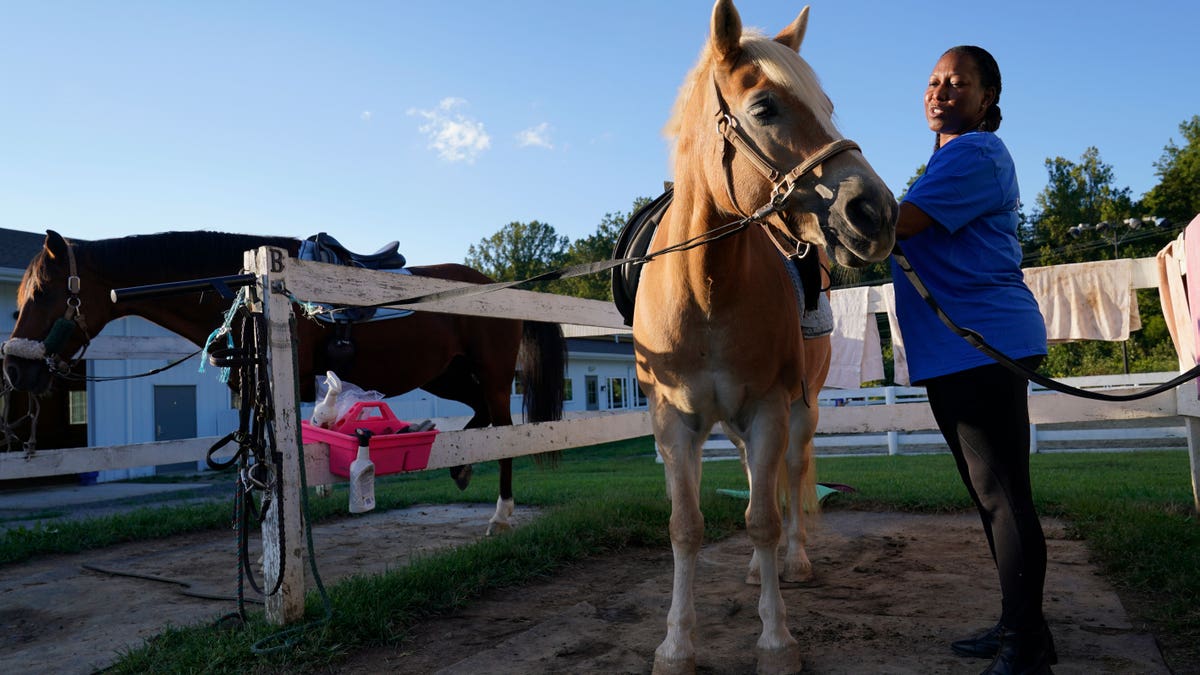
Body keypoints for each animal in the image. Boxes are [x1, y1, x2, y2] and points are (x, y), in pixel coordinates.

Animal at [2, 228, 564, 533]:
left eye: (45, 292)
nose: (14, 368)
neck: (251, 289)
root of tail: (500, 286)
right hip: (447, 375)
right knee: (480, 416)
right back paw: (461, 466)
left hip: (492, 375)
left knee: (505, 429)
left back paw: (501, 515)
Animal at [638, 2, 902, 667]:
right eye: (765, 108)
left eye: (827, 104)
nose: (875, 212)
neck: (707, 289)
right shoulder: (675, 422)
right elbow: (686, 526)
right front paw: (677, 645)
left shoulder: (769, 409)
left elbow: (765, 519)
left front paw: (777, 640)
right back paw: (762, 572)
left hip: (800, 413)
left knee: (789, 477)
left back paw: (793, 563)